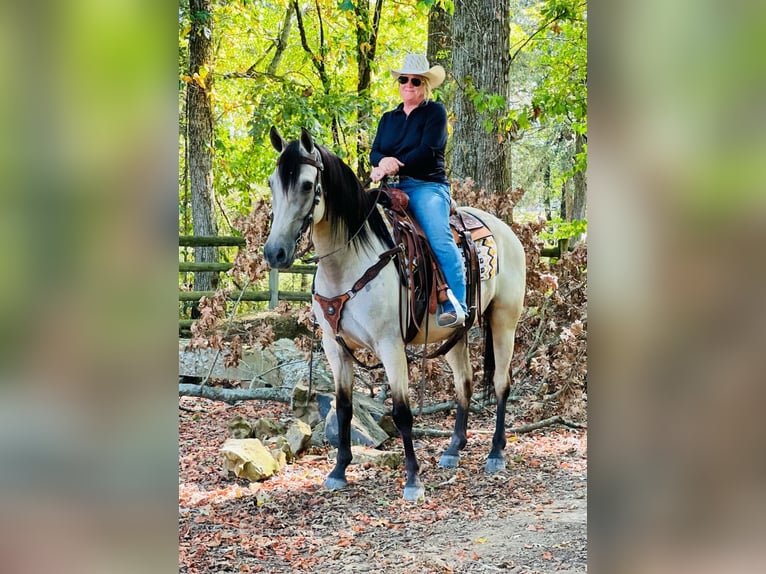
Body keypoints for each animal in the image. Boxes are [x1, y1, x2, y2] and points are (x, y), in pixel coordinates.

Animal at [264, 128, 528, 502]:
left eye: (305, 184)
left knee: (501, 383)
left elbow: (402, 412)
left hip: (504, 320)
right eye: (272, 183)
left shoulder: (390, 345)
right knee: (464, 382)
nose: (275, 252)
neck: (349, 263)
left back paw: (495, 452)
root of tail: (504, 230)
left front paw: (413, 479)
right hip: (455, 334)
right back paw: (453, 448)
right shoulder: (334, 346)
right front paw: (338, 471)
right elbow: (343, 407)